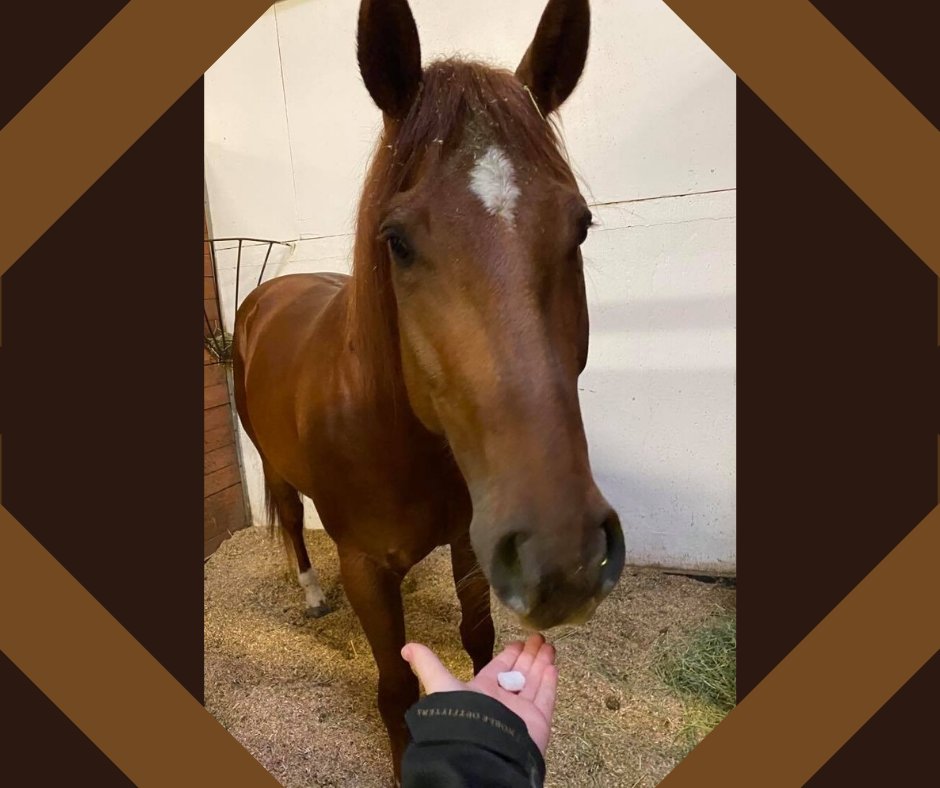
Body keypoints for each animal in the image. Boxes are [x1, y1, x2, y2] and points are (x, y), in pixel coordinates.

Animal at [232, 0, 625, 779]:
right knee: (288, 514)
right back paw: (310, 594)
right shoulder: (364, 568)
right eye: (397, 240)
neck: (395, 432)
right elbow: (392, 682)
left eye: (581, 225)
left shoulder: (473, 544)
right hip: (271, 461)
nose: (564, 556)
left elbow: (477, 638)